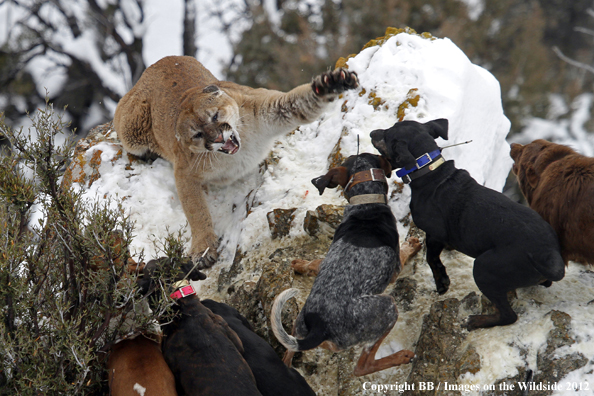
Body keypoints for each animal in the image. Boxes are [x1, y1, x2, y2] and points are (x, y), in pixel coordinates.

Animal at [114, 56, 358, 266]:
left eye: (214, 116)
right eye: (198, 134)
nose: (217, 138)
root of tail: (156, 64)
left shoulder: (271, 108)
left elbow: (299, 103)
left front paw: (331, 83)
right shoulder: (184, 172)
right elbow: (196, 210)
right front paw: (203, 248)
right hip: (131, 130)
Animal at [270, 153, 414, 376]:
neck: (366, 203)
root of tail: (320, 327)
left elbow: (316, 262)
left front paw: (299, 265)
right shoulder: (395, 270)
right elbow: (404, 253)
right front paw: (413, 245)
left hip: (296, 330)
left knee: (287, 356)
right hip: (388, 307)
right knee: (363, 366)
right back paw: (402, 356)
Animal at [370, 119, 564, 330]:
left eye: (387, 135)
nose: (372, 132)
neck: (431, 171)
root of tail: (549, 257)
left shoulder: (435, 233)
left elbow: (431, 258)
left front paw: (442, 283)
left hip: (484, 268)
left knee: (508, 316)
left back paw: (475, 321)